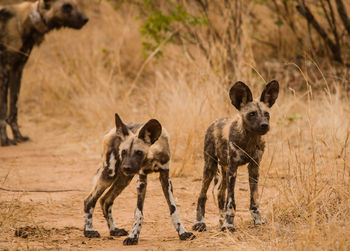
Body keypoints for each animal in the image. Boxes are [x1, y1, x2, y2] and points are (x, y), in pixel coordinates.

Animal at [0, 0, 89, 146]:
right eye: (67, 6)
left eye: (75, 4)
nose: (85, 19)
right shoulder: (4, 71)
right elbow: (3, 110)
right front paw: (4, 140)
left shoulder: (17, 70)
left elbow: (14, 109)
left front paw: (19, 137)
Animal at [83, 113, 196, 245]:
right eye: (124, 151)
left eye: (139, 152)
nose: (126, 167)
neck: (153, 157)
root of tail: (113, 131)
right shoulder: (141, 179)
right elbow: (138, 213)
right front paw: (133, 236)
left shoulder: (165, 178)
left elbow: (173, 209)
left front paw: (183, 232)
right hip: (110, 173)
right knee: (89, 200)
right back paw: (89, 231)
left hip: (125, 178)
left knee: (105, 200)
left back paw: (114, 230)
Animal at [191, 80, 278, 231]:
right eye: (252, 114)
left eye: (266, 113)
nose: (264, 125)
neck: (249, 140)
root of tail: (214, 122)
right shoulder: (233, 168)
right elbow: (231, 201)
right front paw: (229, 224)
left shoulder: (254, 168)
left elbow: (254, 199)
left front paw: (258, 220)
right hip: (210, 167)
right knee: (202, 195)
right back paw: (200, 223)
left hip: (225, 170)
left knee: (220, 193)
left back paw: (221, 220)